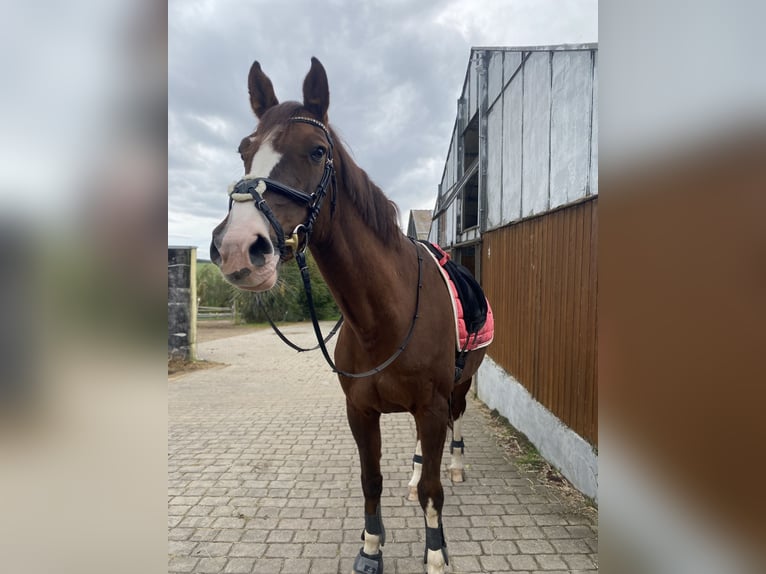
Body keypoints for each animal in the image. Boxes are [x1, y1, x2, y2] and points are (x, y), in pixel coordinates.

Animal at [210, 57, 486, 574]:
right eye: (244, 151)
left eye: (318, 151)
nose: (238, 247)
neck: (383, 320)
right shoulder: (360, 411)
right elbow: (371, 480)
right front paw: (371, 546)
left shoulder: (432, 407)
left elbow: (433, 489)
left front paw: (435, 552)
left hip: (459, 387)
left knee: (456, 426)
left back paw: (457, 466)